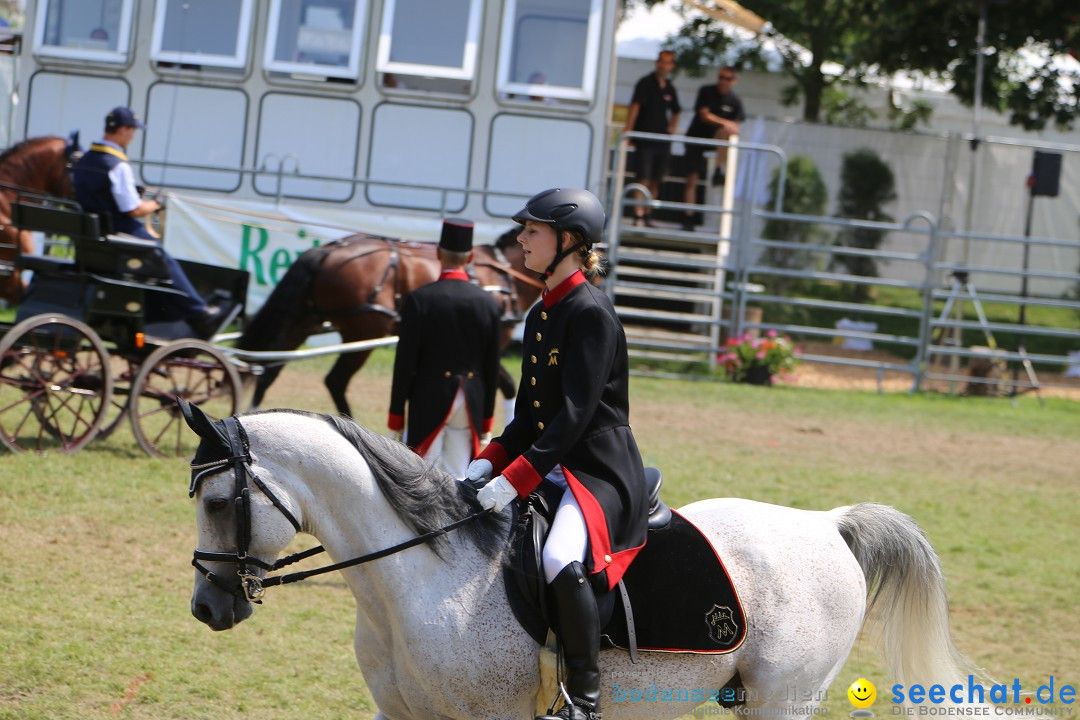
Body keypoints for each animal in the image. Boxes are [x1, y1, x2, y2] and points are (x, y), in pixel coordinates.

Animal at [183, 405, 989, 720]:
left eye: (219, 500)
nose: (206, 608)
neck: (416, 577)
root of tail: (828, 525)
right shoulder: (401, 712)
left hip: (784, 698)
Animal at [236, 225, 540, 416]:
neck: (504, 273)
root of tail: (327, 251)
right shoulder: (490, 345)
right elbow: (508, 387)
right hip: (363, 333)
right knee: (335, 380)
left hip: (304, 322)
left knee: (269, 369)